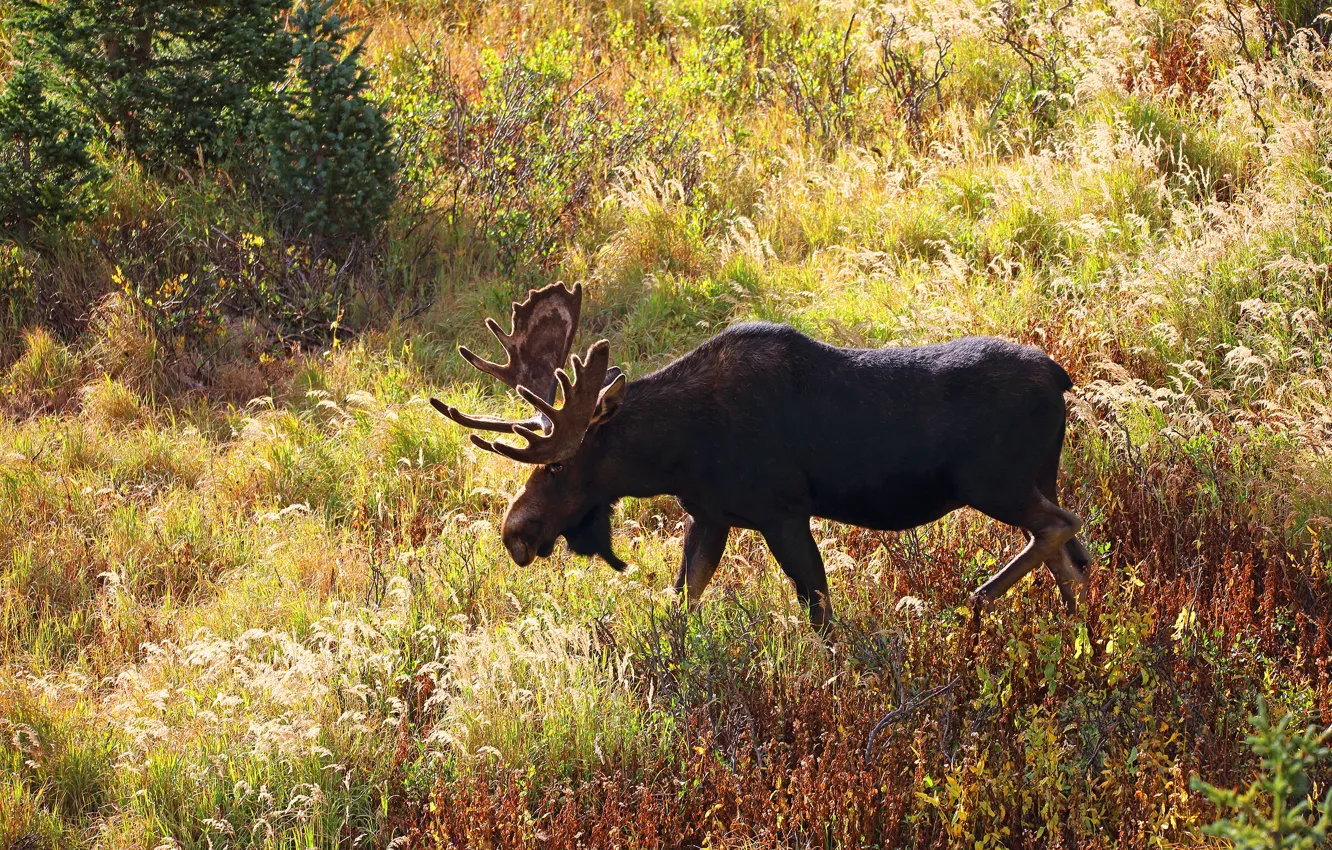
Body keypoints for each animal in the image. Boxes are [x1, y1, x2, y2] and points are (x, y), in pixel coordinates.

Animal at [431, 282, 1091, 632]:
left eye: (557, 464)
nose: (515, 531)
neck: (675, 452)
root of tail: (1060, 376)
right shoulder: (710, 516)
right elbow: (682, 601)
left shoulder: (783, 511)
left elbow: (821, 613)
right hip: (1036, 478)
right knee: (1071, 556)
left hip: (995, 480)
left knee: (1062, 526)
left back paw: (979, 598)